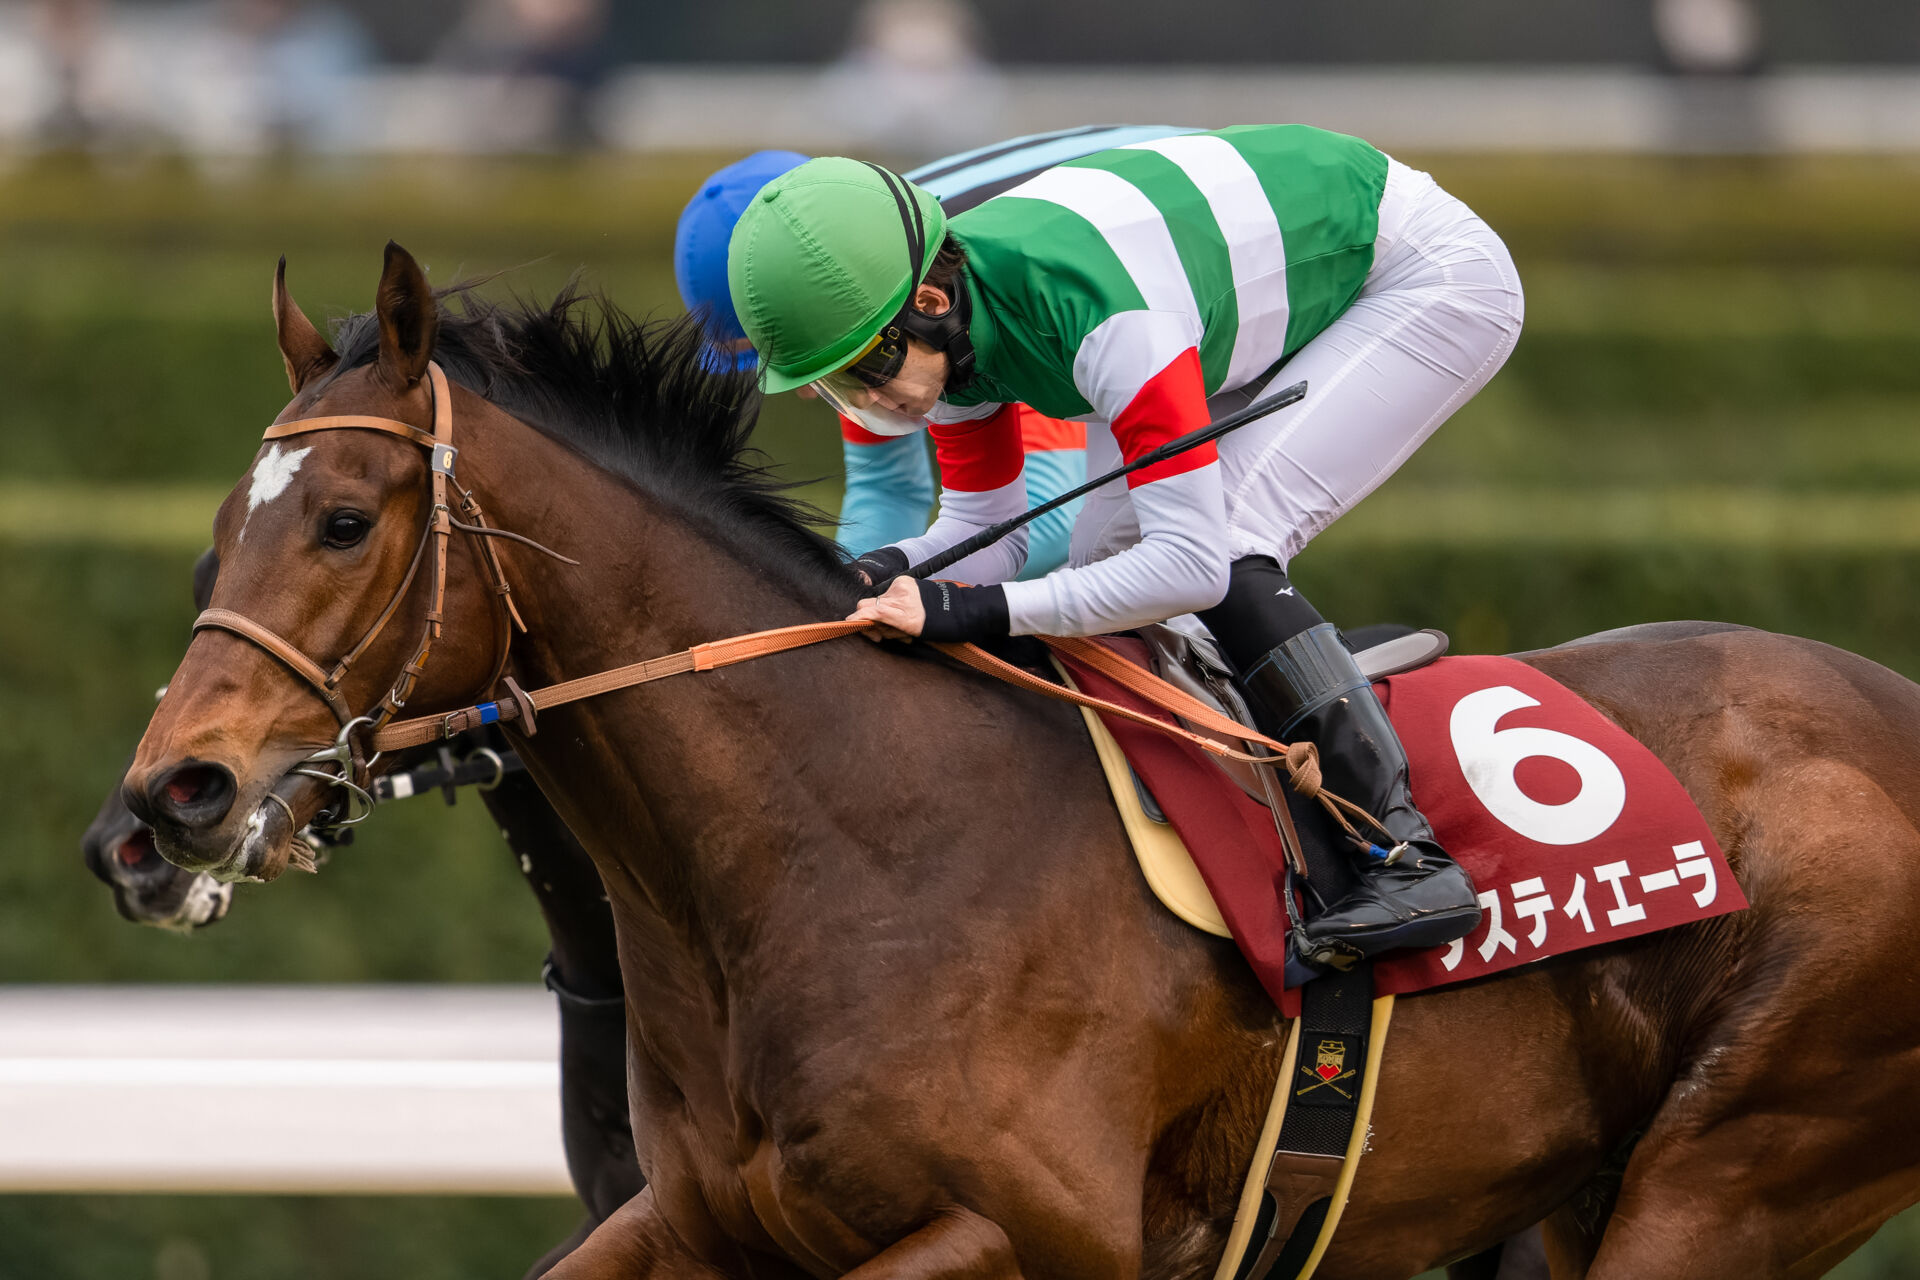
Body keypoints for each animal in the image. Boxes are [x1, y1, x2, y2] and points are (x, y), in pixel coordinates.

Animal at [124, 244, 1920, 1278]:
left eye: (344, 521)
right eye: (216, 529)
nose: (164, 803)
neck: (846, 849)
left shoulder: (1053, 1234)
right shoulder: (700, 1223)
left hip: (1740, 1165)